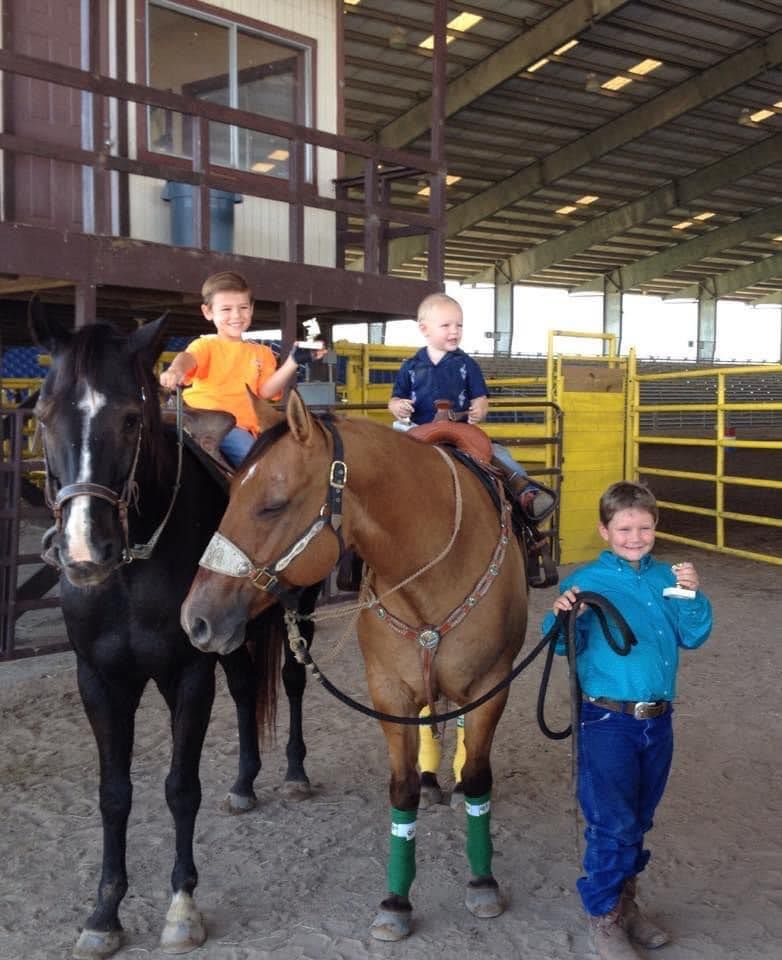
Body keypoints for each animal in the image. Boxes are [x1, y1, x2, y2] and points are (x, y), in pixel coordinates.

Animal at [30, 310, 318, 960]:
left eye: (131, 418)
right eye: (43, 414)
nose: (84, 551)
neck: (133, 567)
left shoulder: (187, 674)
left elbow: (180, 787)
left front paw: (183, 907)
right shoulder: (101, 680)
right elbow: (114, 793)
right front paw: (104, 914)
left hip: (297, 615)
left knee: (290, 683)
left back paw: (293, 774)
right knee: (245, 690)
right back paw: (244, 783)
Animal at [181, 388, 528, 936]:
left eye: (272, 505)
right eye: (231, 491)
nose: (194, 619)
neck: (434, 565)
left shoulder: (491, 686)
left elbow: (478, 778)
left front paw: (482, 882)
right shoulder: (389, 691)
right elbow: (401, 790)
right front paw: (396, 902)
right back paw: (433, 781)